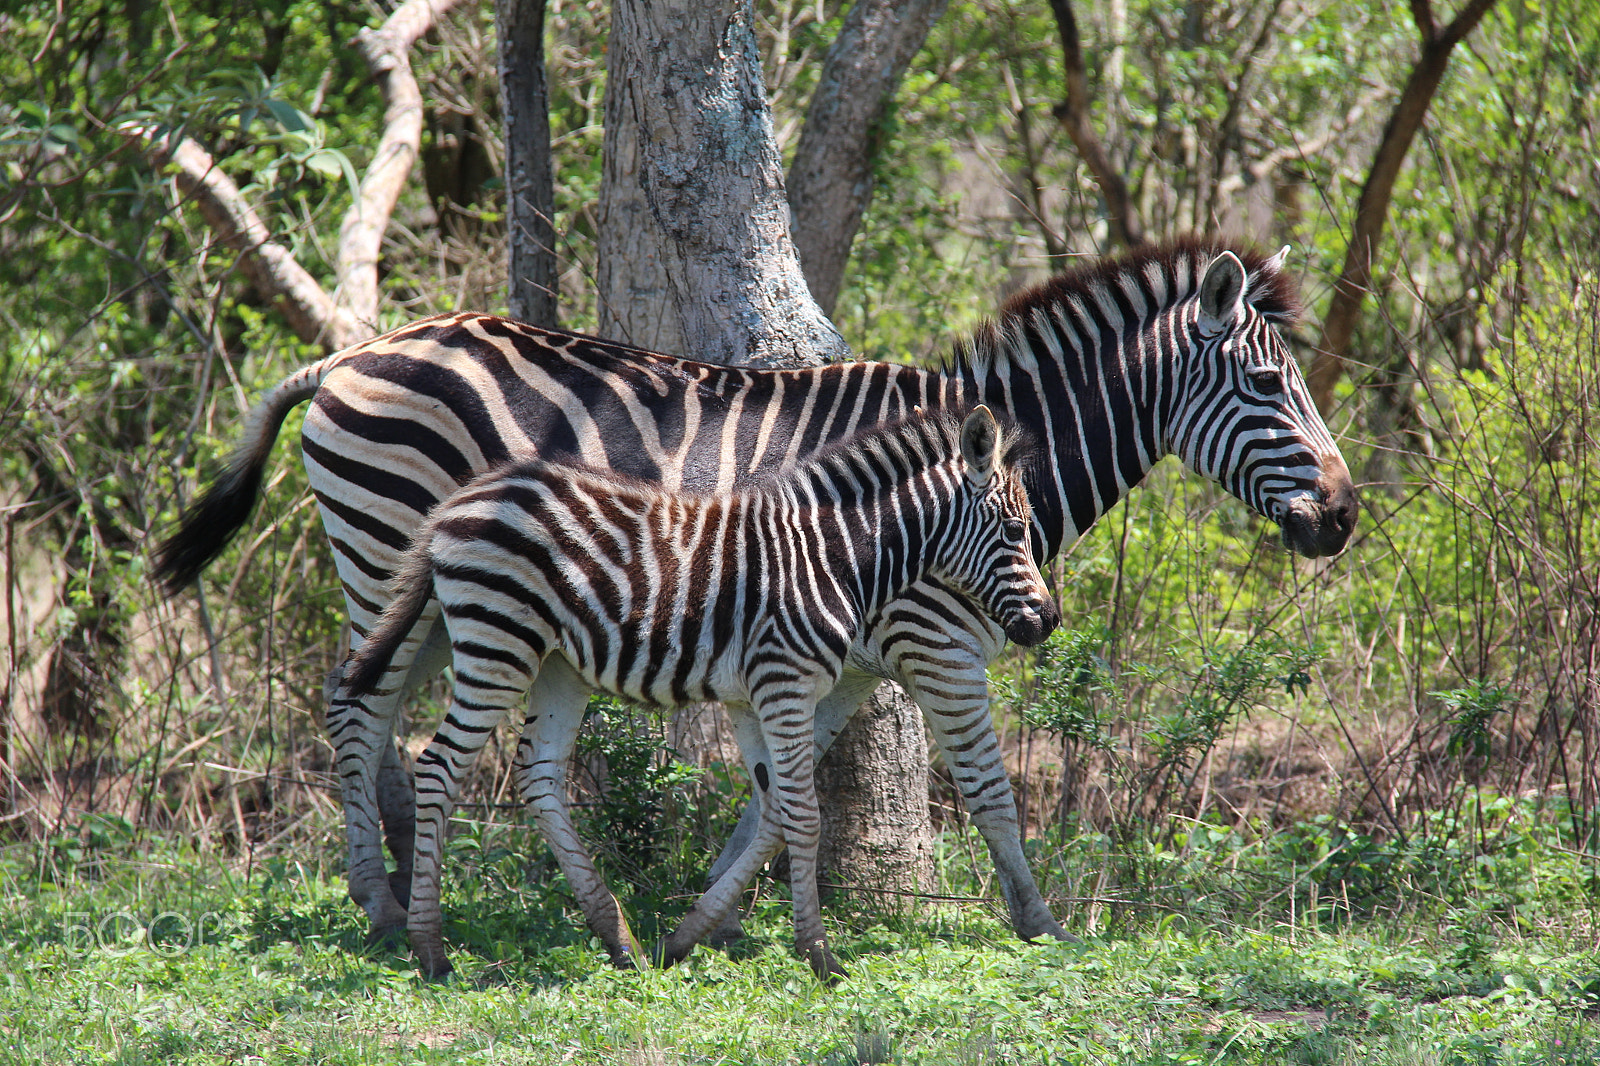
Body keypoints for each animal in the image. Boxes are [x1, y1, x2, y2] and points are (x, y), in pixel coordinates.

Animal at [337, 406, 1057, 981]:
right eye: (1016, 532)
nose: (1048, 622)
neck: (834, 554)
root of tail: (458, 500)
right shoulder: (785, 683)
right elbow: (803, 815)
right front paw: (819, 956)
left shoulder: (752, 696)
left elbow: (775, 812)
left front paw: (685, 939)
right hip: (498, 641)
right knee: (438, 767)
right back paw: (430, 949)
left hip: (557, 662)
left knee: (537, 776)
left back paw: (619, 940)